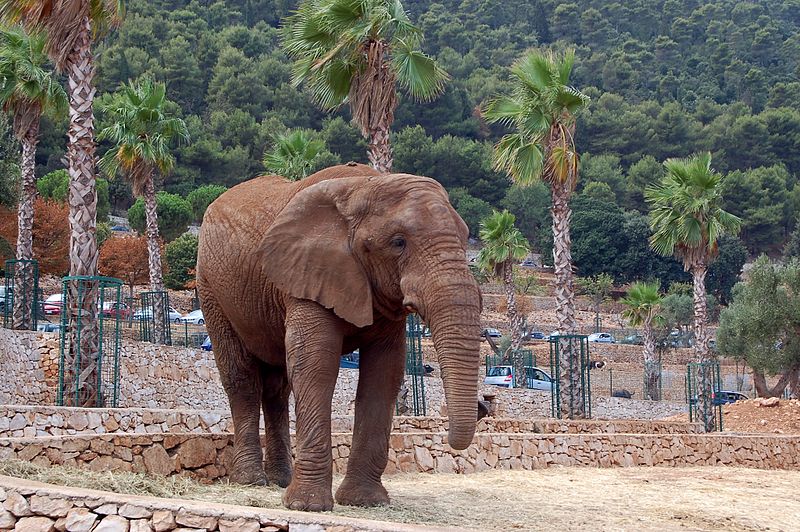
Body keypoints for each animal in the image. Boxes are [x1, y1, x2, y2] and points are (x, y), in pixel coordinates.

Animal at [197, 162, 482, 512]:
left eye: (466, 238)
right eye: (398, 242)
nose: (482, 408)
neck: (365, 186)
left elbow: (384, 373)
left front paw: (364, 502)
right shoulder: (307, 275)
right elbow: (315, 365)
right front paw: (307, 506)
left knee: (277, 387)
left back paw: (280, 480)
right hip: (211, 288)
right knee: (242, 379)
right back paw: (251, 481)